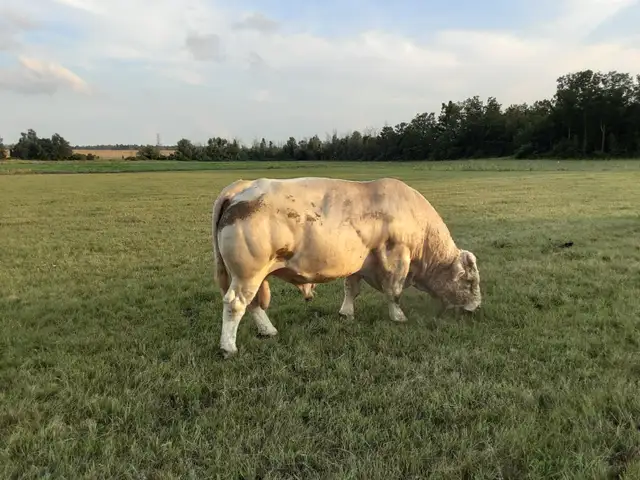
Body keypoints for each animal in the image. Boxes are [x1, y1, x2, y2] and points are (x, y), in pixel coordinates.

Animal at [212, 176, 481, 358]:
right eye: (470, 281)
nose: (476, 308)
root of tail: (243, 186)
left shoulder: (358, 264)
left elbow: (351, 288)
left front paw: (346, 313)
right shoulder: (397, 257)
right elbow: (394, 292)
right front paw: (398, 316)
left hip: (251, 275)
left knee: (254, 303)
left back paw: (268, 330)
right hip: (247, 274)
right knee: (236, 304)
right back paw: (228, 347)